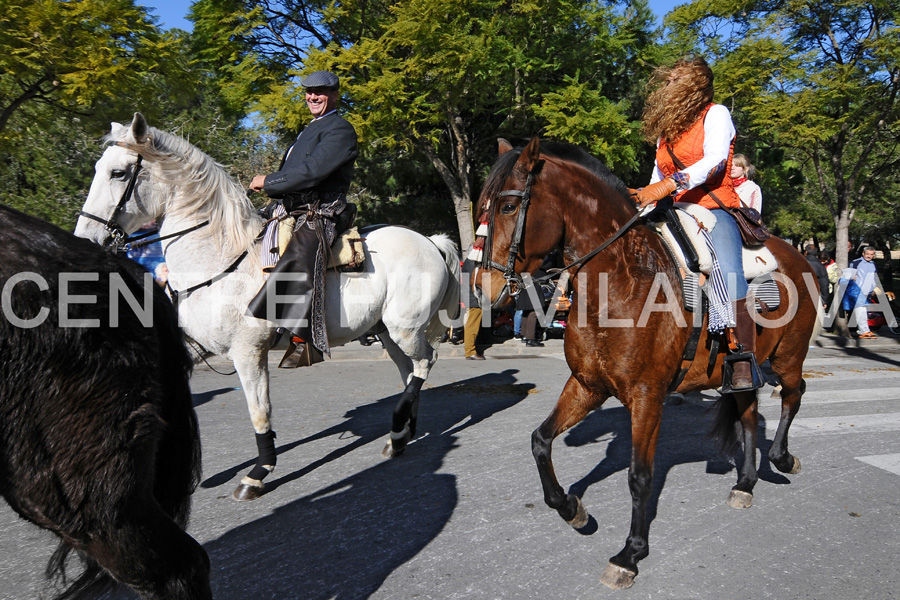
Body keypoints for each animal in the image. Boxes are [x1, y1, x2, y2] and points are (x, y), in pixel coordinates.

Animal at [74, 112, 460, 502]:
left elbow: (260, 411)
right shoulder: (194, 348)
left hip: (404, 329)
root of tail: (430, 241)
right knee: (409, 371)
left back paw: (397, 429)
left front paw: (258, 473)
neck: (220, 260)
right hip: (386, 333)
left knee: (425, 362)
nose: (85, 240)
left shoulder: (248, 352)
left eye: (118, 173)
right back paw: (402, 434)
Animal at [478, 138, 824, 588]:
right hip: (743, 370)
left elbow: (639, 476)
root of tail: (799, 257)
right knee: (749, 412)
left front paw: (630, 554)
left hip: (788, 356)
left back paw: (781, 458)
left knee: (793, 394)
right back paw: (745, 483)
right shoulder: (587, 384)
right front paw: (572, 509)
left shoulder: (647, 396)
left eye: (507, 207)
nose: (482, 289)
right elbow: (540, 440)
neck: (623, 278)